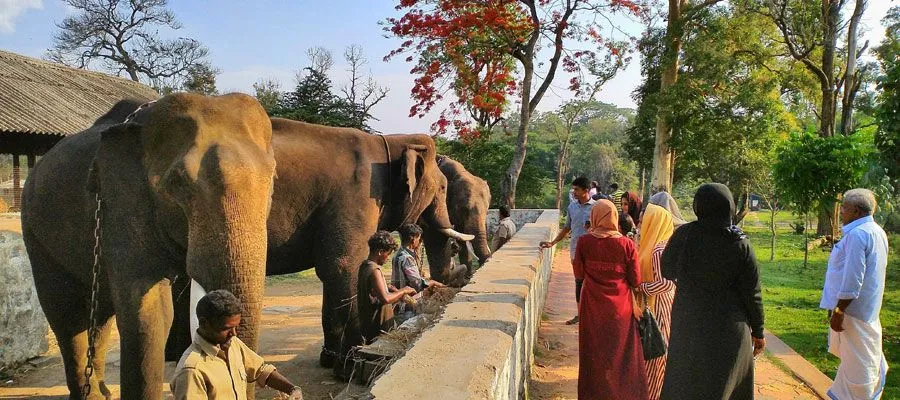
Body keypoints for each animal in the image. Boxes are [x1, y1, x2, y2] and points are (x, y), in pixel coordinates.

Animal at [21, 93, 277, 399]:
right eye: (178, 183)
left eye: (273, 179)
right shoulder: (121, 204)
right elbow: (148, 312)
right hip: (35, 231)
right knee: (66, 311)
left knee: (99, 314)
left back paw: (102, 392)